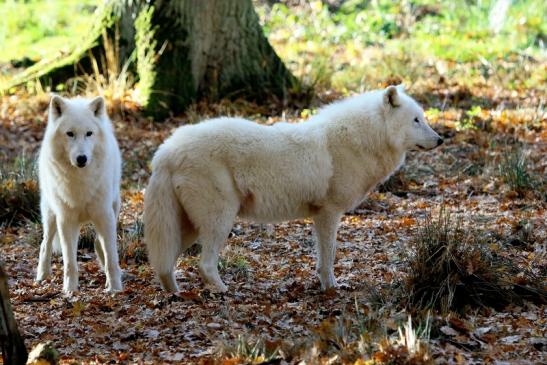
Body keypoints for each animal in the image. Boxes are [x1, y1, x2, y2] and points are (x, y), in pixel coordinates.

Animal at [37, 95, 124, 292]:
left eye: (89, 133)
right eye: (70, 134)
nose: (81, 158)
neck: (80, 179)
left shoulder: (104, 214)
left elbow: (111, 258)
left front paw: (115, 288)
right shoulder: (65, 219)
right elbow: (69, 261)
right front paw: (70, 290)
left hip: (114, 208)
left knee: (99, 242)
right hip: (51, 215)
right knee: (45, 244)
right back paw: (42, 276)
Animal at [143, 85, 444, 292]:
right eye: (416, 120)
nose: (440, 139)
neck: (363, 138)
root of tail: (165, 151)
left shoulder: (320, 215)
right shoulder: (329, 213)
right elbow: (329, 257)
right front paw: (331, 289)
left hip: (186, 227)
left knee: (164, 263)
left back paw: (176, 294)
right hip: (220, 220)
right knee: (203, 265)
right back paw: (224, 291)